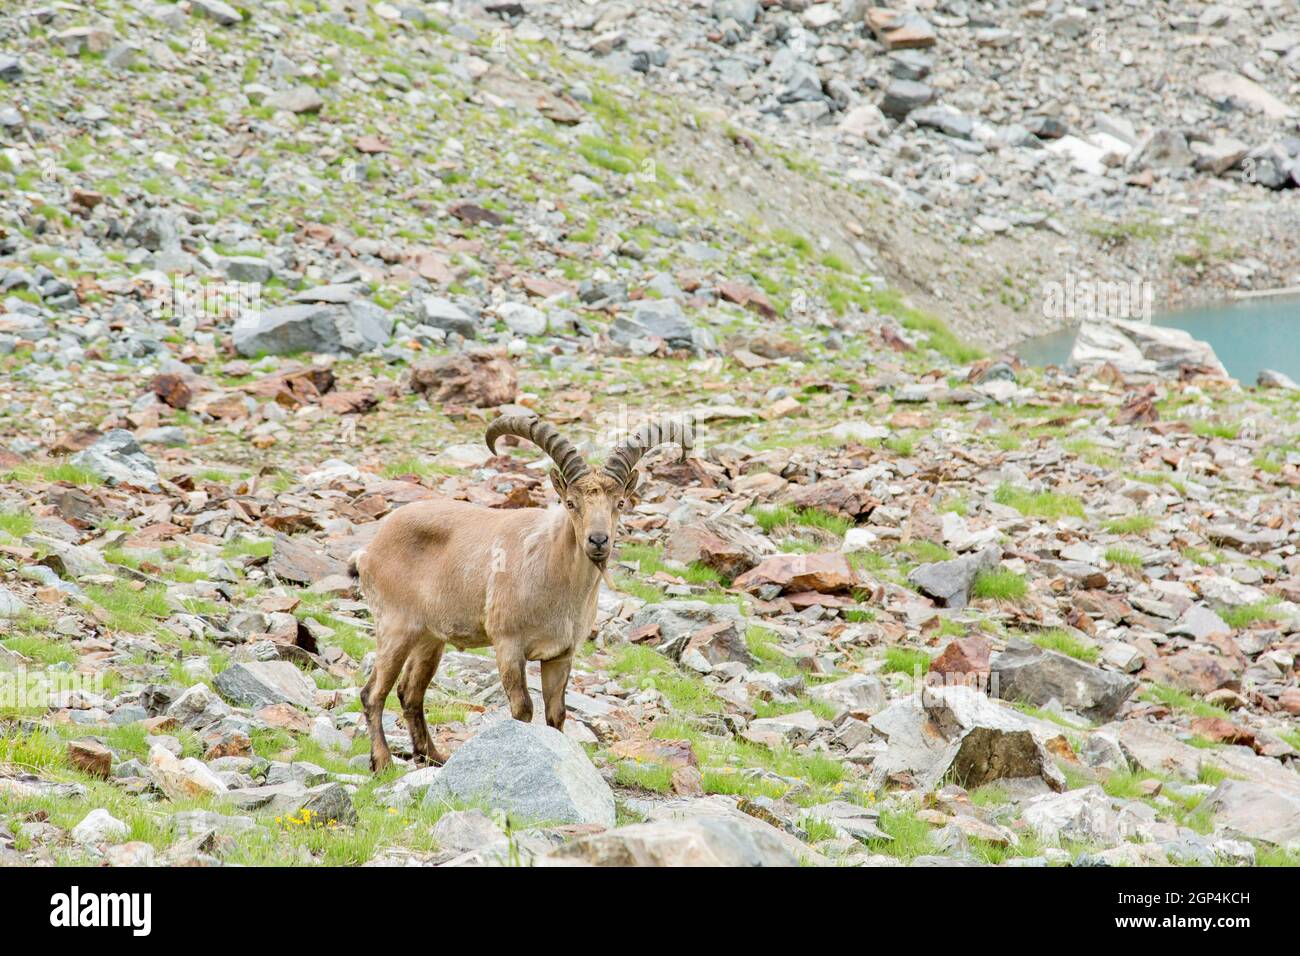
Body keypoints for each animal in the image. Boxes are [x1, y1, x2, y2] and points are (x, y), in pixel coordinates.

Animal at [351, 415, 694, 772]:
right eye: (571, 503)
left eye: (620, 503)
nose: (598, 541)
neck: (555, 579)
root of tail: (370, 550)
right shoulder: (508, 645)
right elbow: (523, 709)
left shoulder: (560, 655)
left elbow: (556, 714)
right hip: (395, 626)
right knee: (373, 693)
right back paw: (383, 762)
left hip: (429, 638)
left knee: (410, 692)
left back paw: (433, 757)